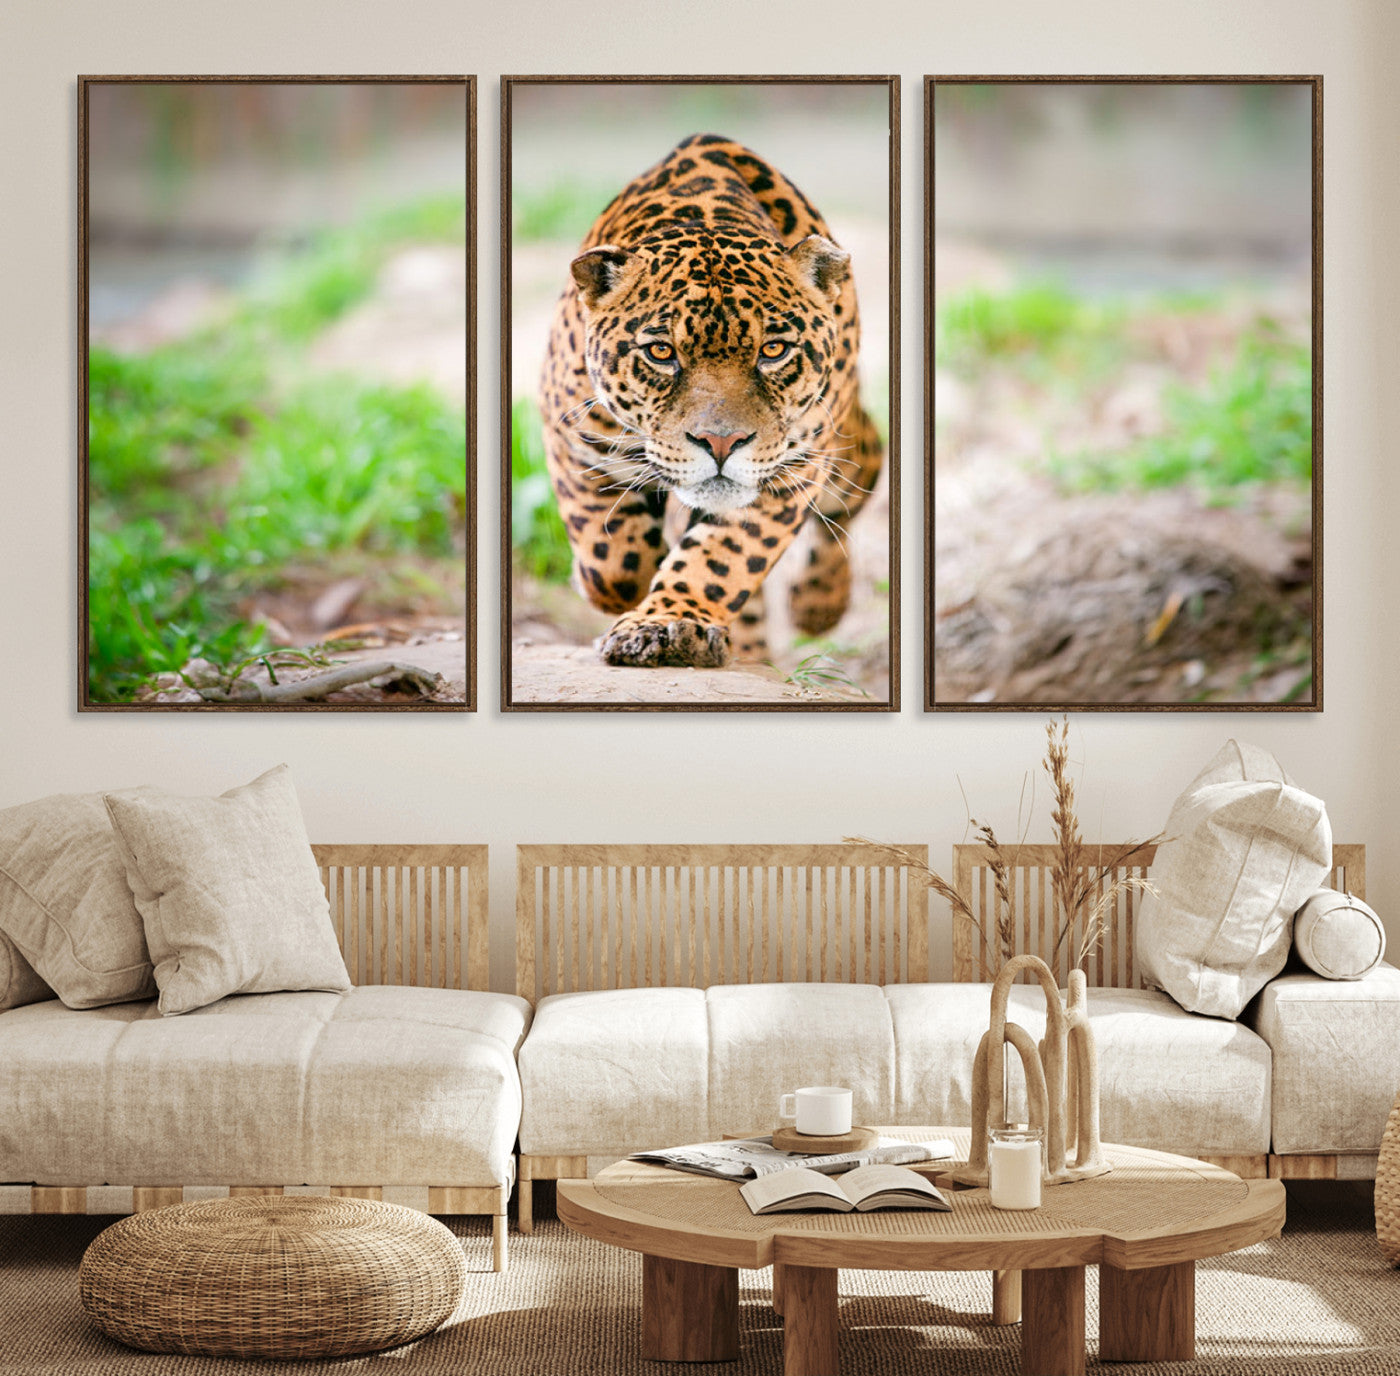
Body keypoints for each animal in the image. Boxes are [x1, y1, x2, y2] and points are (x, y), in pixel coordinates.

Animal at [536, 133, 884, 669]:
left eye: (773, 350)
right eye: (661, 352)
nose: (721, 443)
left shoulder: (790, 471)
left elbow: (723, 558)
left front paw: (668, 623)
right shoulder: (574, 436)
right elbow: (611, 560)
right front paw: (627, 588)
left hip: (841, 445)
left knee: (859, 476)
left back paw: (817, 605)